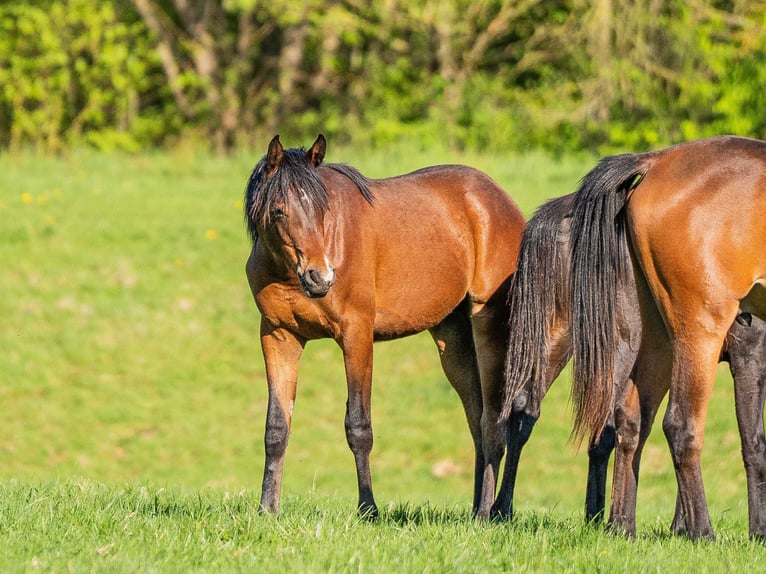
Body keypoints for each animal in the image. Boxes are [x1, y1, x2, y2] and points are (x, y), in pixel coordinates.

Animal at [243, 134, 525, 518]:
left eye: (324, 209)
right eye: (278, 210)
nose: (320, 277)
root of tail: (501, 201)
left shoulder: (356, 335)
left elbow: (358, 426)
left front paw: (368, 508)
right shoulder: (278, 337)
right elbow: (276, 426)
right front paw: (267, 509)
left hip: (490, 327)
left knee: (495, 420)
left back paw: (489, 512)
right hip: (452, 339)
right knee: (477, 418)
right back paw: (477, 511)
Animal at [494, 191, 766, 537]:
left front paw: (680, 526)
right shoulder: (748, 356)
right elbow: (752, 441)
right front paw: (755, 530)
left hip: (563, 338)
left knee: (531, 410)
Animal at [561, 135, 766, 540]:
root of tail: (657, 160)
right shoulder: (750, 359)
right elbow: (754, 444)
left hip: (657, 338)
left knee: (630, 420)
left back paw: (623, 525)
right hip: (697, 328)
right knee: (681, 425)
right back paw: (702, 532)